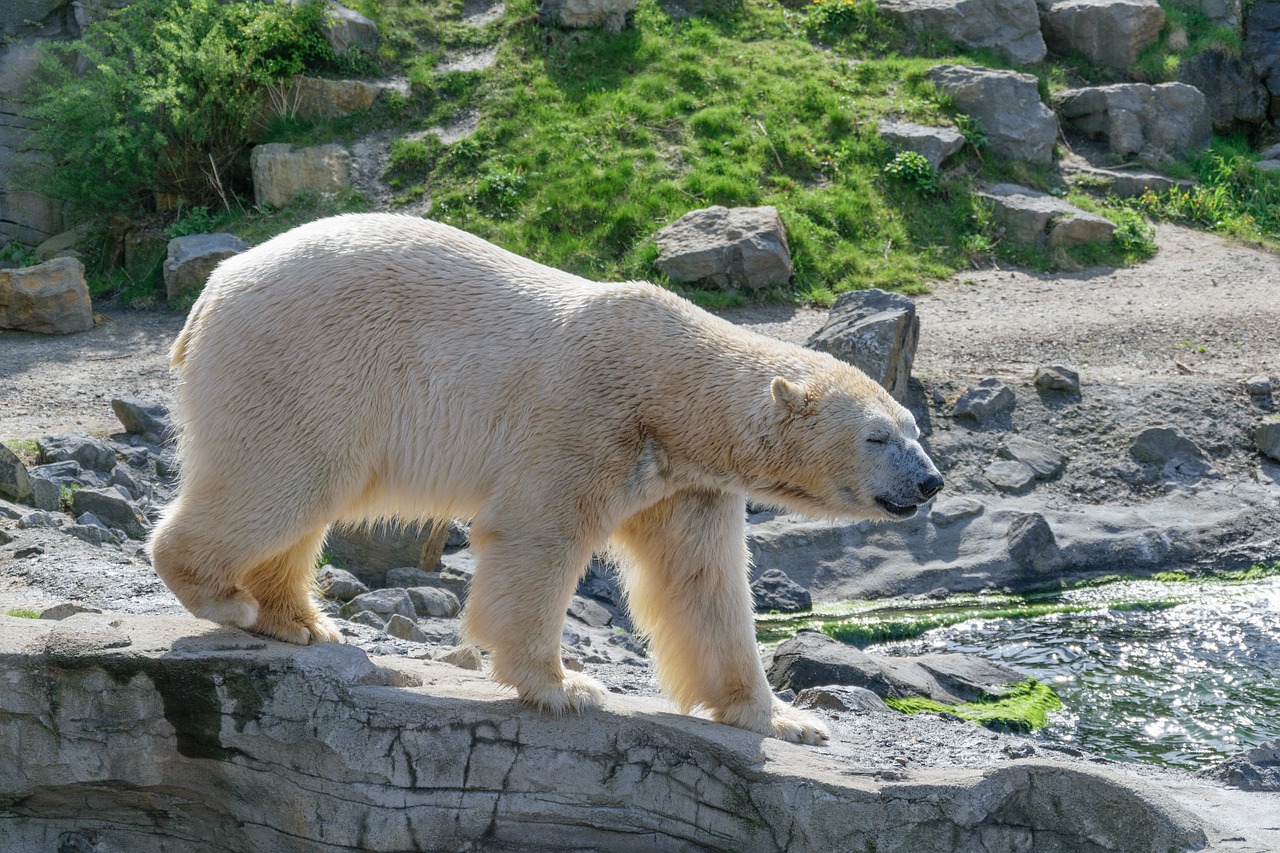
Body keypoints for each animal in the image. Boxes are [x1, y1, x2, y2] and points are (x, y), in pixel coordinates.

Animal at [149, 213, 942, 742]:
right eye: (878, 436)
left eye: (914, 428)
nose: (930, 482)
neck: (670, 391)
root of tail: (210, 292)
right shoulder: (585, 416)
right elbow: (539, 536)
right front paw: (565, 686)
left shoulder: (686, 481)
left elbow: (702, 583)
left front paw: (781, 718)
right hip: (307, 363)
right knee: (279, 479)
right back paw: (226, 598)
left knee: (302, 497)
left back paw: (298, 620)